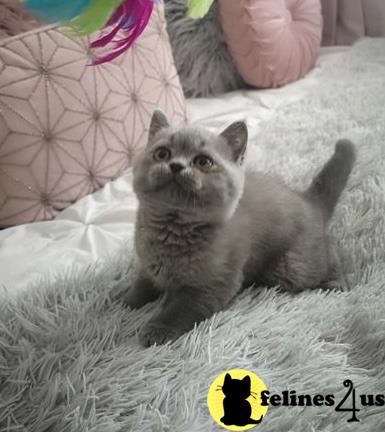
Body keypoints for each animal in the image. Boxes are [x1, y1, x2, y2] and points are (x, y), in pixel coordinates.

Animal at [122, 109, 354, 346]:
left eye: (203, 162)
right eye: (162, 153)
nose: (176, 165)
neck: (171, 229)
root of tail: (308, 200)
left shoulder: (213, 284)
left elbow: (179, 310)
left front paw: (156, 330)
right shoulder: (148, 264)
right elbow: (141, 284)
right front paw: (124, 299)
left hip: (292, 267)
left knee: (328, 253)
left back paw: (337, 282)